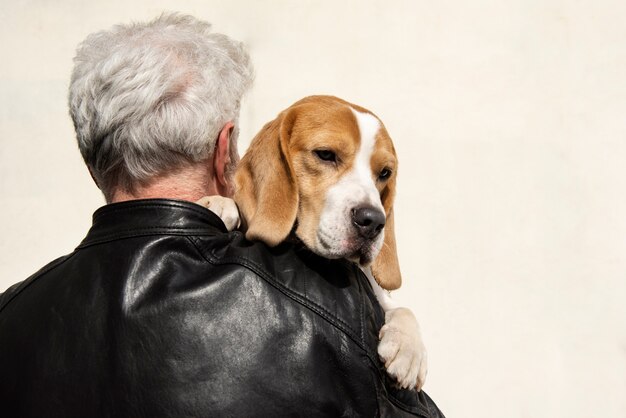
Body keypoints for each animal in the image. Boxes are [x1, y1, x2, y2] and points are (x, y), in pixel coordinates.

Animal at [197, 96, 426, 390]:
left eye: (385, 173)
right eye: (326, 154)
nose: (374, 221)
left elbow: (402, 308)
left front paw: (410, 351)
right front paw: (217, 202)